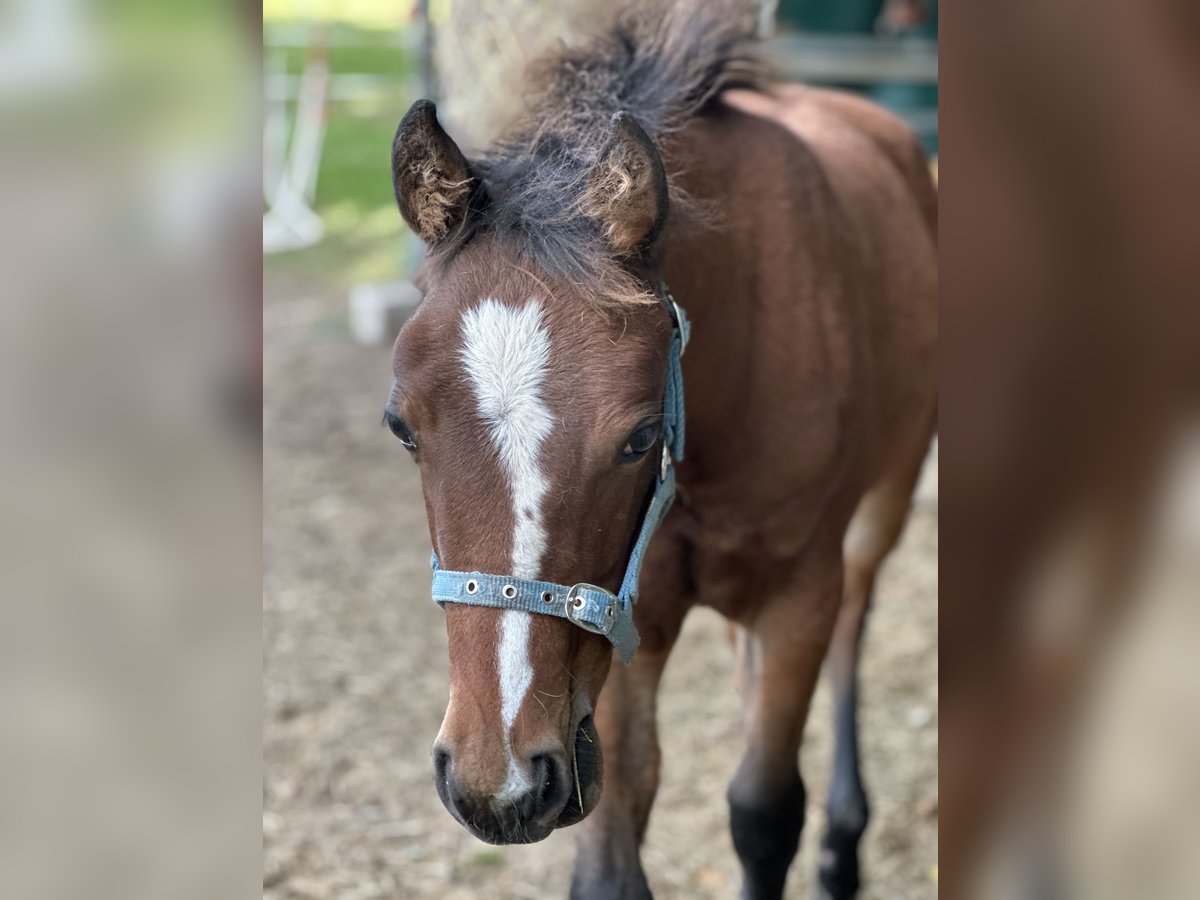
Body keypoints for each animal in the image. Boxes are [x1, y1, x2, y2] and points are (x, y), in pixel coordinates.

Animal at [384, 3, 936, 897]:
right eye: (402, 426)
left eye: (639, 436)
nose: (498, 784)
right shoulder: (616, 620)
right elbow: (612, 854)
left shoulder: (798, 598)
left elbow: (764, 813)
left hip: (882, 504)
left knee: (856, 622)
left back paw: (843, 847)